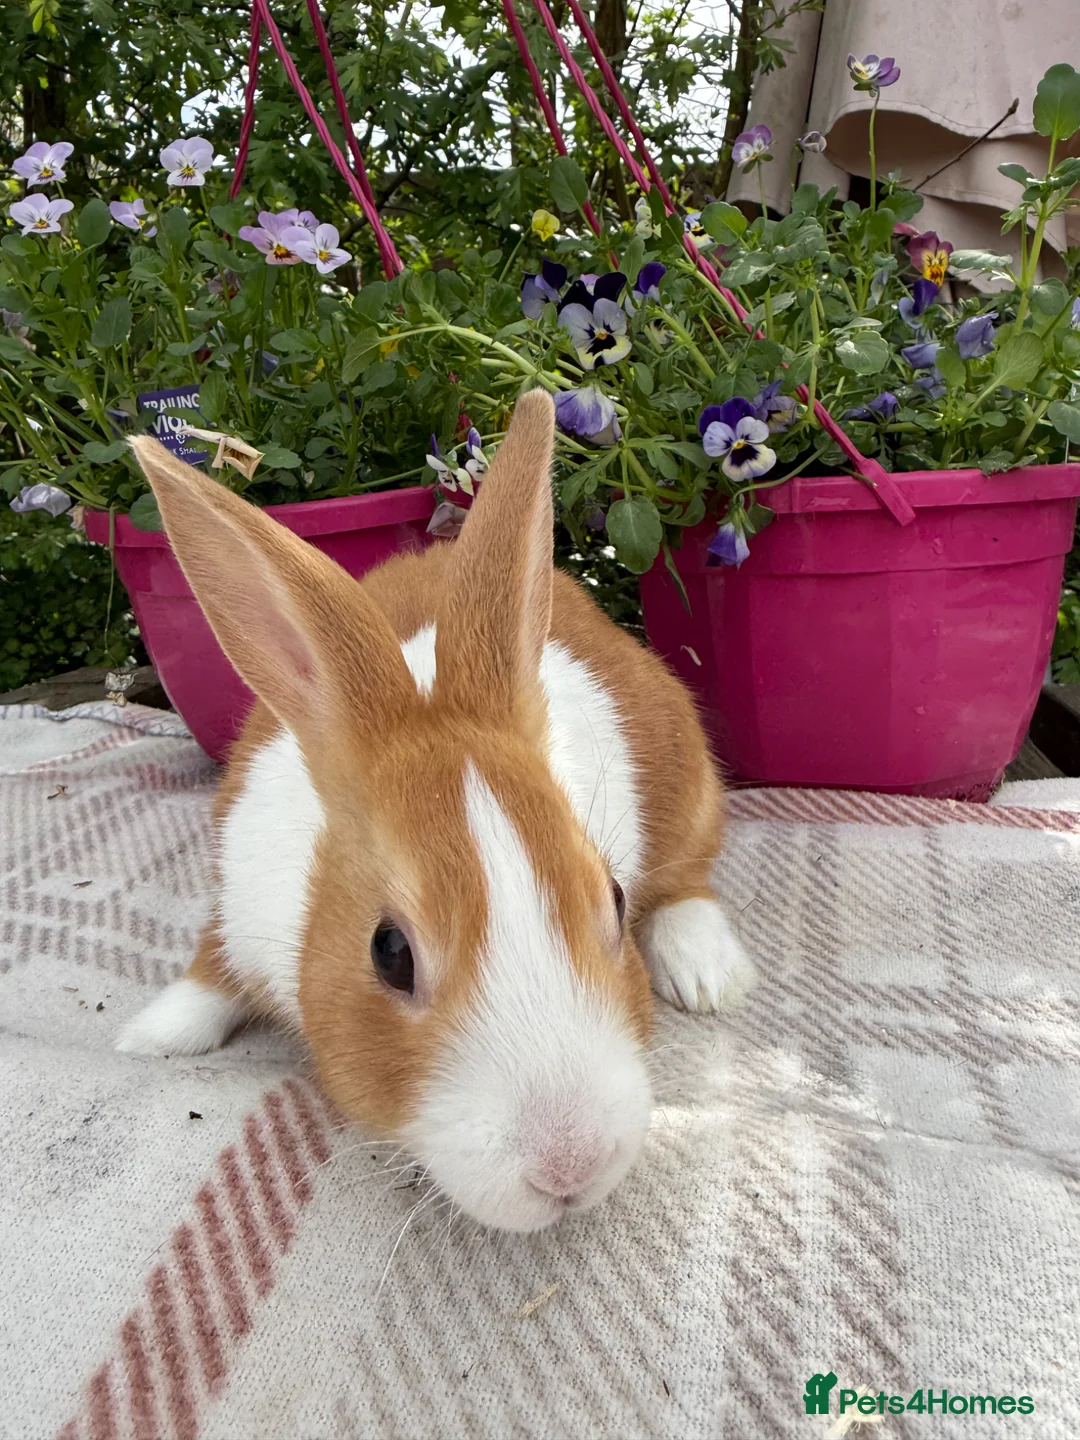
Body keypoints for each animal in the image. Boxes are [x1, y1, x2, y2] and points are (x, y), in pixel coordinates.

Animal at [117, 389, 753, 1231]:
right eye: (390, 952)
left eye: (614, 900)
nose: (571, 1167)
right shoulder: (235, 898)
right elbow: (210, 969)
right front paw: (151, 1036)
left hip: (687, 783)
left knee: (690, 877)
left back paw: (707, 972)